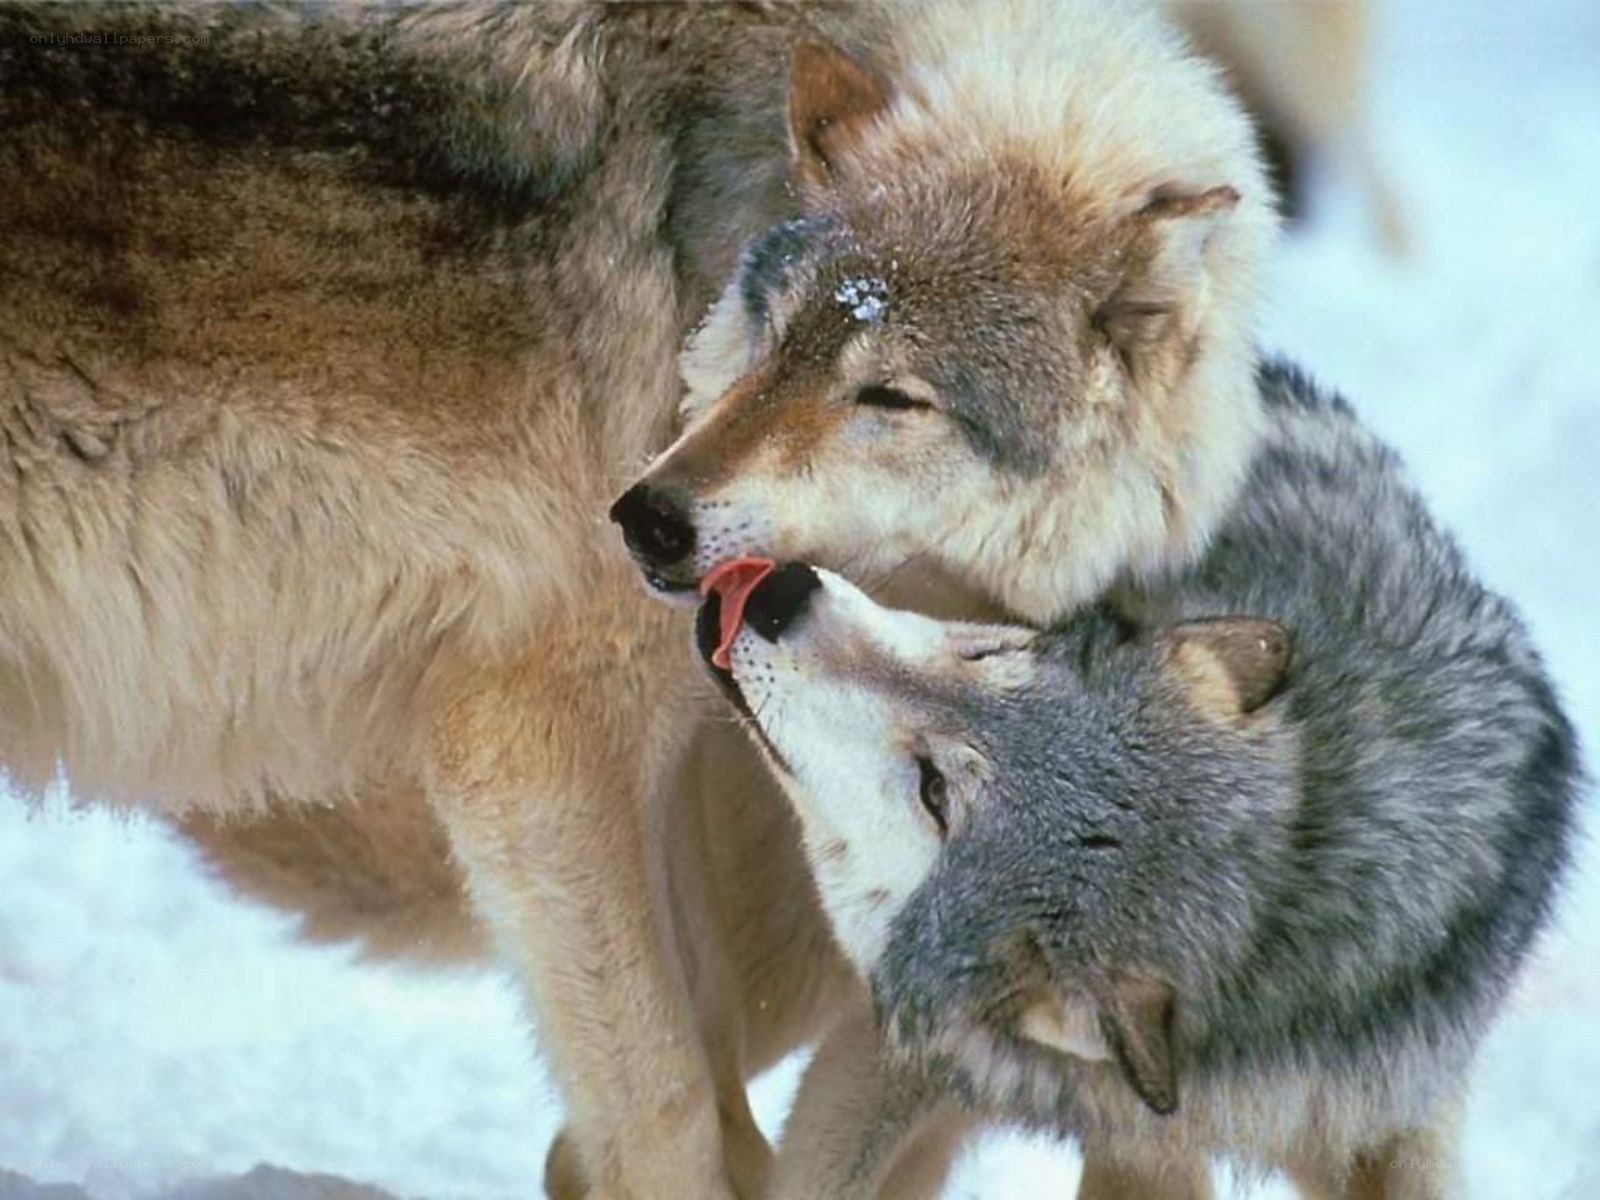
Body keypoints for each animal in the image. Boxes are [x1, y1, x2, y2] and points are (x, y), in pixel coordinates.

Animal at [2, 2, 1276, 1195]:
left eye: (891, 396)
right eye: (772, 342)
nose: (646, 518)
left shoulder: (701, 792)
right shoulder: (528, 746)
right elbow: (667, 1111)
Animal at [696, 364, 1579, 1199]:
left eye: (935, 792)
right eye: (990, 654)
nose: (779, 595)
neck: (1298, 880)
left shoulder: (1380, 1106)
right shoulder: (890, 1060)